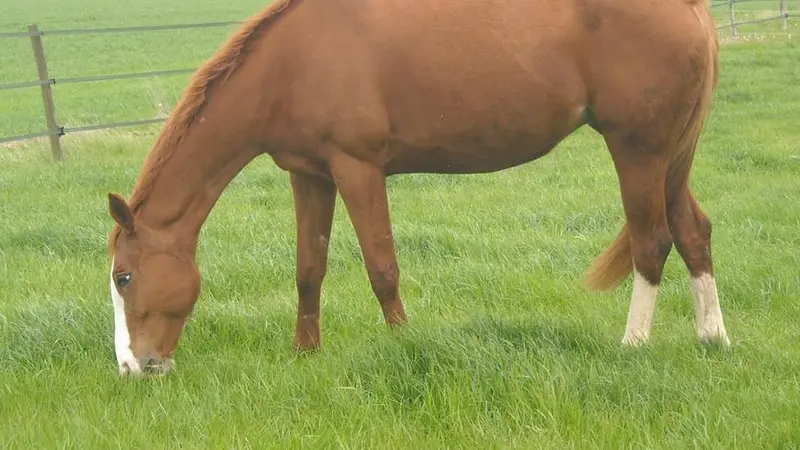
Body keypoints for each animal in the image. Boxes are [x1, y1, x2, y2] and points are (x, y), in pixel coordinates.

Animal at [106, 0, 730, 376]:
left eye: (124, 276)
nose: (132, 368)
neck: (292, 64)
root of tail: (690, 8)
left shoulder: (357, 168)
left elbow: (382, 267)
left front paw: (404, 345)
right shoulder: (309, 175)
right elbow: (309, 268)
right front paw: (305, 354)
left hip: (638, 150)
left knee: (652, 242)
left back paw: (634, 344)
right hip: (670, 156)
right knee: (693, 232)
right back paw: (713, 339)